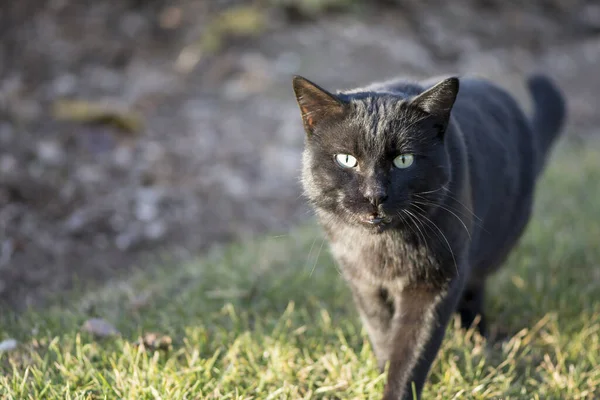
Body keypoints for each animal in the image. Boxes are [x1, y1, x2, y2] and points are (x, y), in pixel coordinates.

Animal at [292, 72, 564, 400]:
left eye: (404, 160)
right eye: (346, 159)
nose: (375, 195)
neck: (383, 247)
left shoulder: (434, 282)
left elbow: (412, 351)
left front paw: (396, 389)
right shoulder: (364, 282)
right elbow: (381, 333)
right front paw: (381, 370)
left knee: (474, 289)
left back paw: (479, 339)